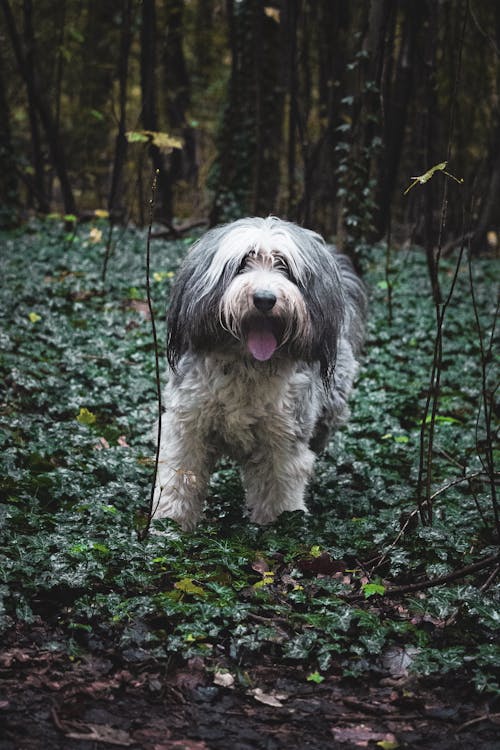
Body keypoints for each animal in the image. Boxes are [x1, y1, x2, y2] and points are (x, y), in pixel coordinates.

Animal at [150, 214, 366, 532]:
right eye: (242, 263)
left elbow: (277, 489)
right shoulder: (187, 427)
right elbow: (179, 479)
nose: (265, 299)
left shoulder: (283, 439)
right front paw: (169, 526)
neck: (248, 364)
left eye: (284, 266)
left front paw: (277, 529)